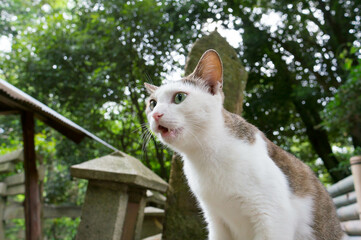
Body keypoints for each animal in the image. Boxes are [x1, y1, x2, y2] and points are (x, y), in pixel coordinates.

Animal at [143, 49, 344, 240]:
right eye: (152, 104)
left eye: (179, 97)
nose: (156, 115)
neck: (206, 156)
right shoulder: (215, 220)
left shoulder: (272, 217)